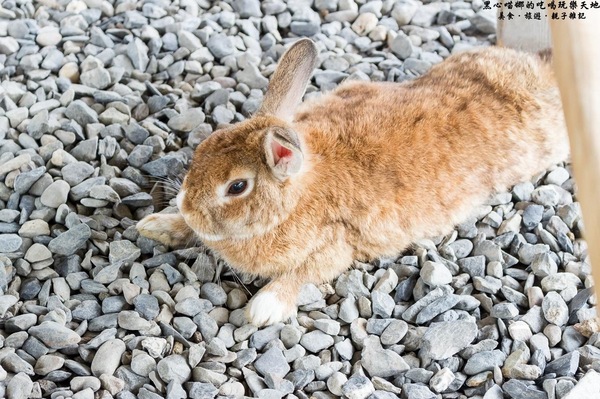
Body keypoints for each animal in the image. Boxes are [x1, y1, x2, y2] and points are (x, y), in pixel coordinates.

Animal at [138, 39, 568, 328]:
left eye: (237, 188)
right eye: (203, 148)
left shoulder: (334, 245)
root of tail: (542, 74)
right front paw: (156, 226)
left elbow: (301, 274)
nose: (189, 206)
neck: (295, 195)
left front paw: (264, 308)